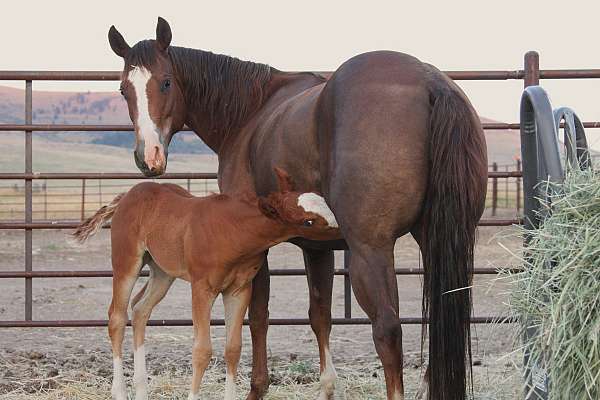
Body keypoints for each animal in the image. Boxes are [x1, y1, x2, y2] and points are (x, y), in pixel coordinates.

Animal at [72, 169, 340, 400]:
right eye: (307, 222)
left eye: (325, 204)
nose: (340, 232)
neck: (235, 231)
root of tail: (126, 196)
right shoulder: (202, 288)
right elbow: (202, 350)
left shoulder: (239, 289)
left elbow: (233, 348)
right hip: (126, 261)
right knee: (117, 317)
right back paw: (120, 391)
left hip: (162, 271)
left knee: (140, 309)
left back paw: (141, 389)